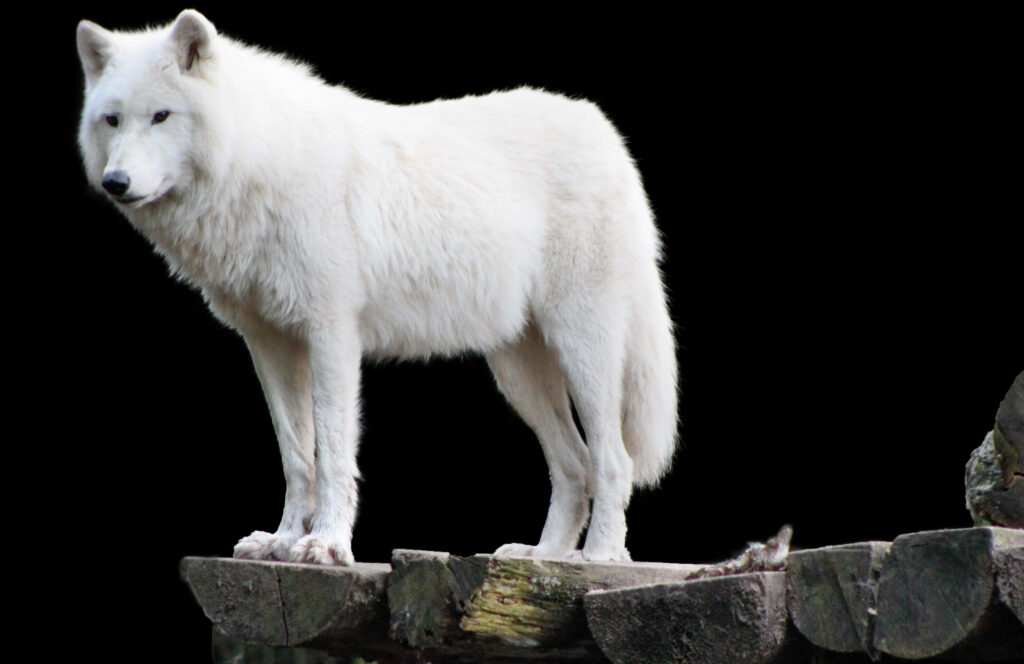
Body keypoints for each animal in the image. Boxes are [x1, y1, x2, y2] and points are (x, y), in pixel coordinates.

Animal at [77, 9, 678, 565]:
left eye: (161, 116)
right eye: (112, 120)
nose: (116, 182)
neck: (259, 161)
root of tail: (602, 129)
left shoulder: (332, 335)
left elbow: (333, 452)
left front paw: (326, 545)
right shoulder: (270, 344)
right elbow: (297, 456)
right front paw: (283, 541)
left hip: (582, 351)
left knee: (613, 460)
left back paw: (599, 557)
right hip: (518, 372)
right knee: (574, 466)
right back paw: (543, 556)